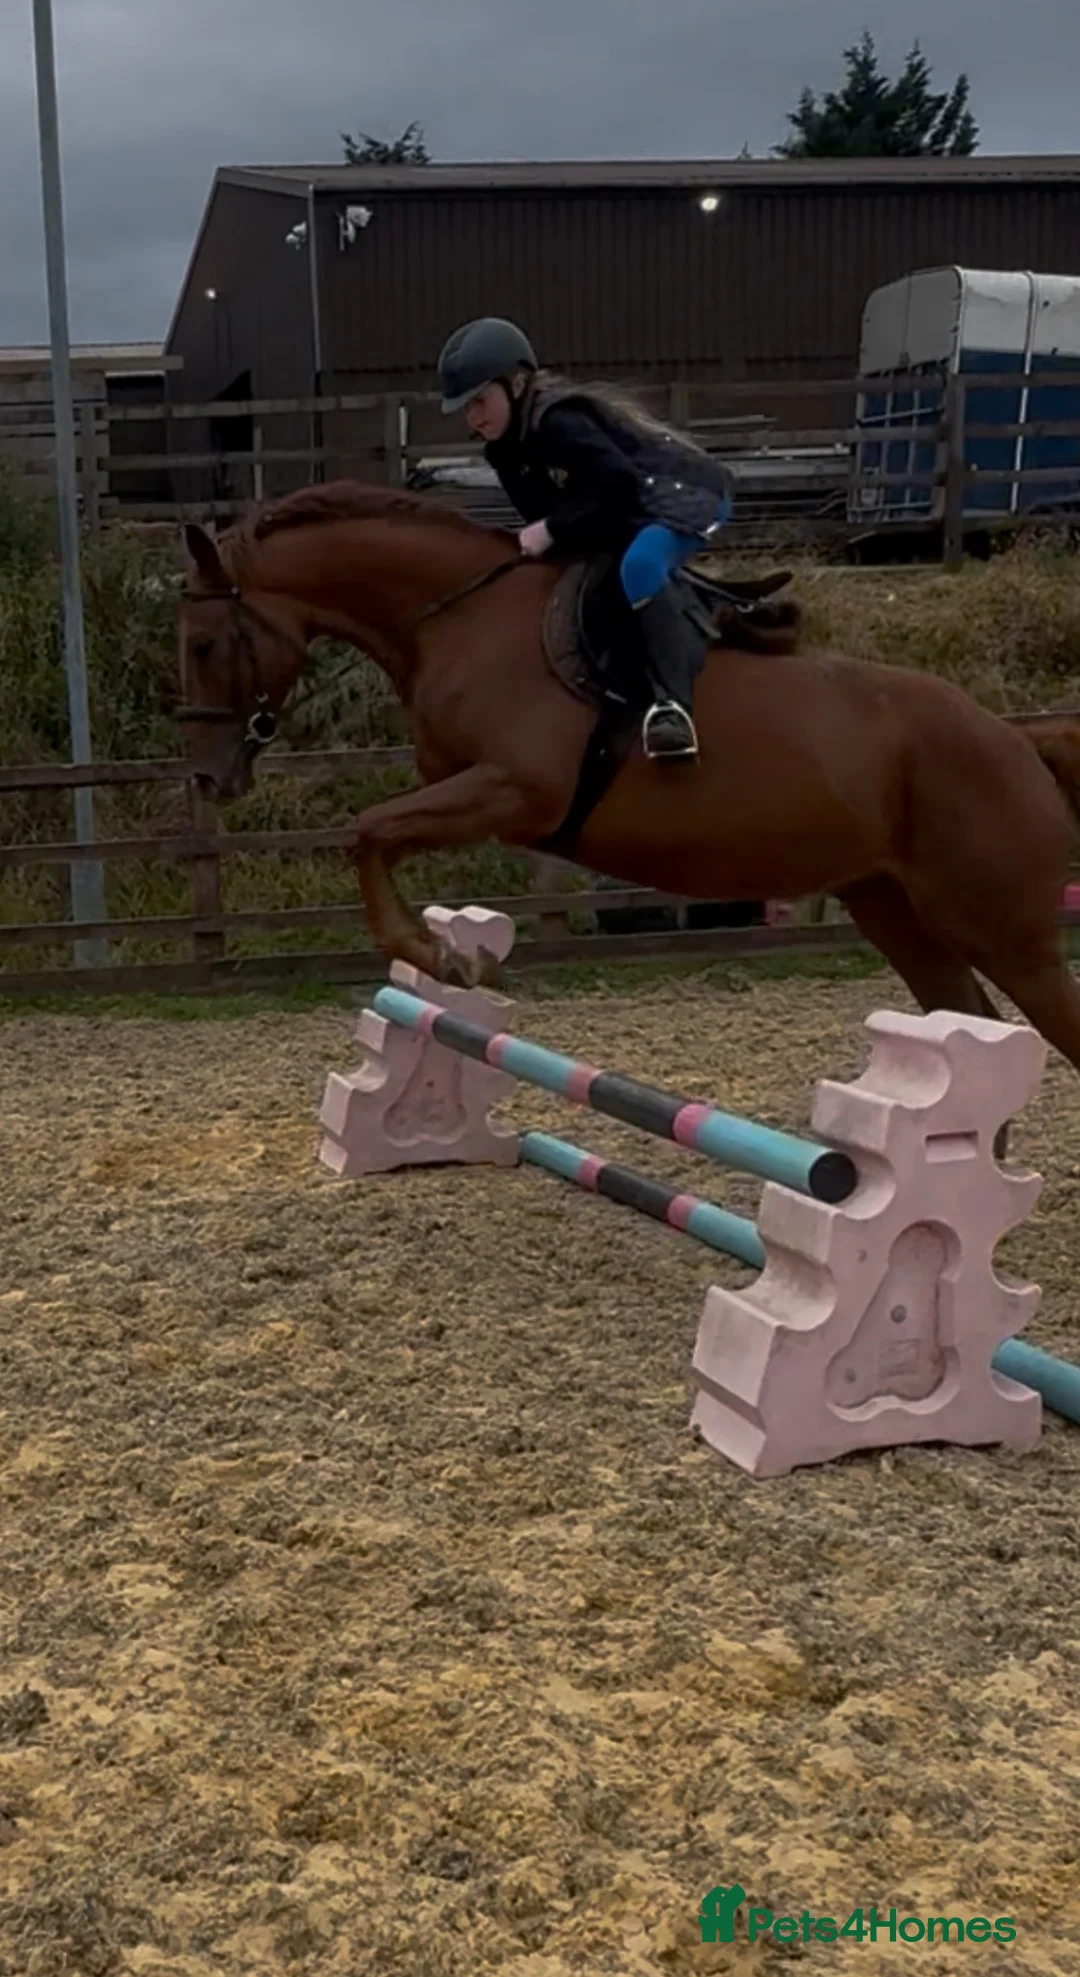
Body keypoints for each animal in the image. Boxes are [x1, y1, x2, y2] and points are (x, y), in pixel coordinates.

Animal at [175, 479, 1080, 1090]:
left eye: (206, 643)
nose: (208, 774)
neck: (459, 617)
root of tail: (1016, 739)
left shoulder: (516, 790)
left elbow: (366, 828)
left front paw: (441, 957)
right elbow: (374, 831)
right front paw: (447, 955)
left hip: (1004, 928)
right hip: (892, 908)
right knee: (971, 1024)